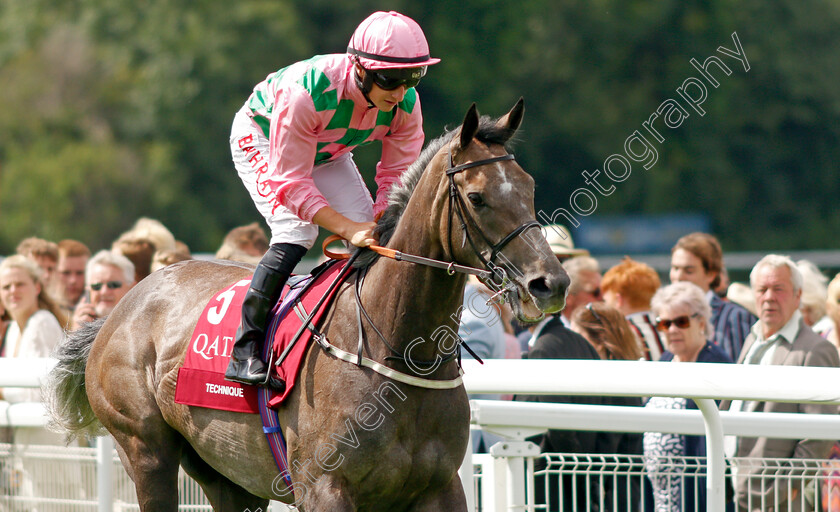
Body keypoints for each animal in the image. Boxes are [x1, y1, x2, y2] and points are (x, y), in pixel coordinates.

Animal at [46, 98, 572, 510]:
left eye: (529, 188)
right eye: (478, 198)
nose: (550, 284)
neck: (396, 350)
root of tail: (123, 306)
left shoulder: (439, 489)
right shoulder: (325, 489)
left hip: (226, 472)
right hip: (146, 450)